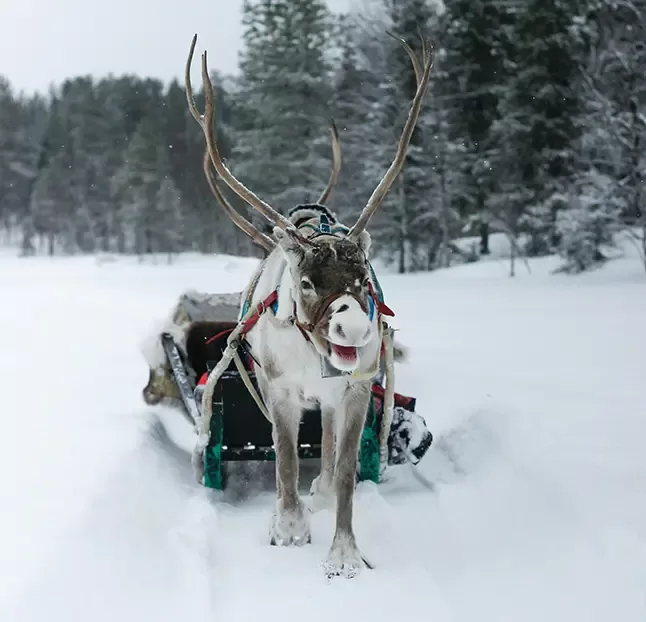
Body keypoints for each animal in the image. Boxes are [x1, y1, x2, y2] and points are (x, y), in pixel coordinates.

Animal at [184, 30, 433, 579]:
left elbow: (343, 470)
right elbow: (285, 460)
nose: (355, 331)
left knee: (329, 445)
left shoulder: (356, 391)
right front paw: (288, 528)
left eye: (362, 279)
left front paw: (343, 554)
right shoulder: (278, 389)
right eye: (307, 281)